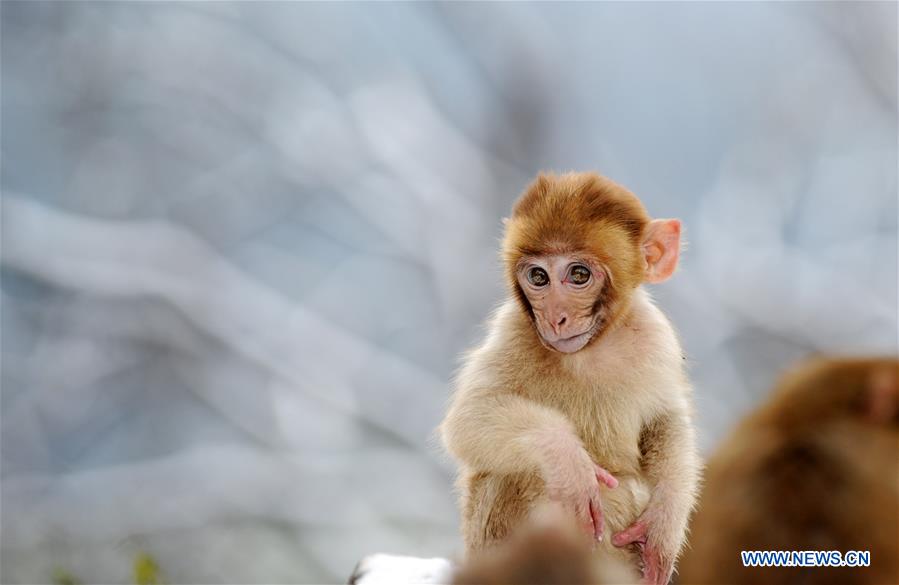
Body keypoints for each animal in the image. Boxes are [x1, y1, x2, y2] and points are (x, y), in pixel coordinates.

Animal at [440, 171, 700, 580]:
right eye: (538, 276)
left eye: (578, 274)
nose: (554, 318)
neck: (589, 350)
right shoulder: (512, 331)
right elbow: (468, 419)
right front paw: (568, 462)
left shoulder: (656, 335)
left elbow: (666, 418)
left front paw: (663, 525)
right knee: (517, 473)